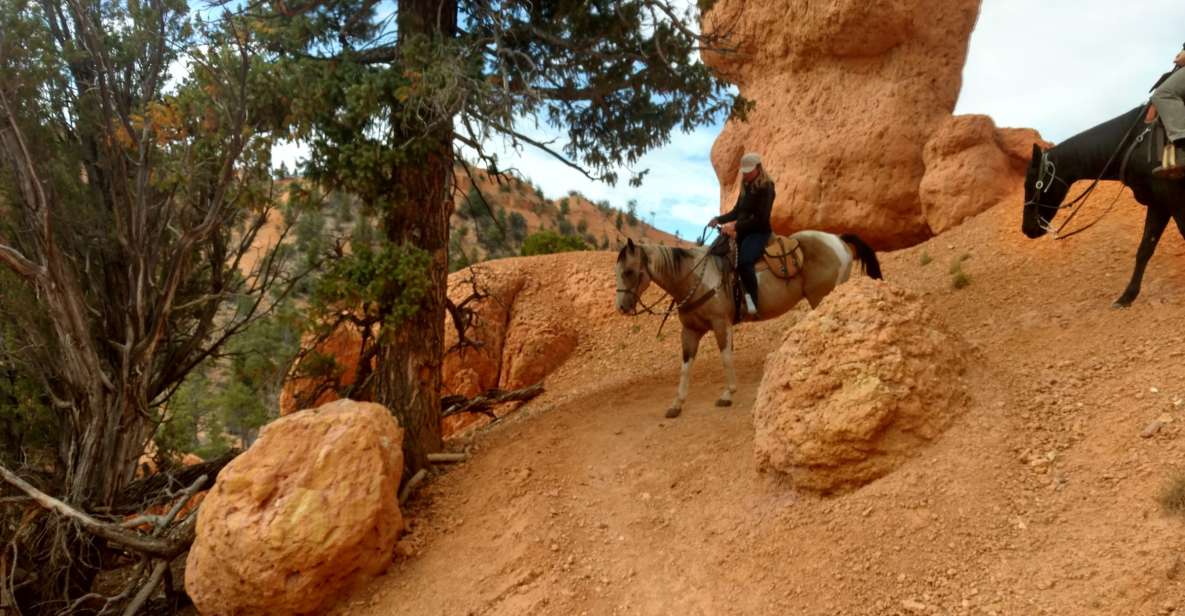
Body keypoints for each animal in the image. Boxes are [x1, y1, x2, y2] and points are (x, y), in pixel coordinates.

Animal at [1019, 107, 1185, 308]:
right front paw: (1126, 297)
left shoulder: (1171, 200)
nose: (1026, 228)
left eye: (1030, 184)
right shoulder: (1158, 204)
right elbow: (1144, 249)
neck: (1133, 145)